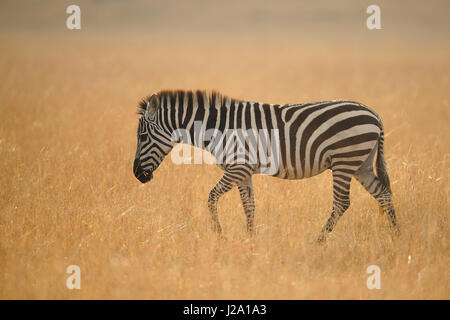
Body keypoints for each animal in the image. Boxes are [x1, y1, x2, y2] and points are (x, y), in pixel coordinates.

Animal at [133, 89, 398, 241]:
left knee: (342, 203)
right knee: (383, 194)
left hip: (344, 161)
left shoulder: (238, 167)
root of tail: (374, 115)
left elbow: (211, 197)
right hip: (361, 164)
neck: (217, 128)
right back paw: (397, 236)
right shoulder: (244, 171)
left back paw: (319, 241)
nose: (136, 175)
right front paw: (251, 241)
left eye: (142, 137)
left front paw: (220, 235)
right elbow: (248, 206)